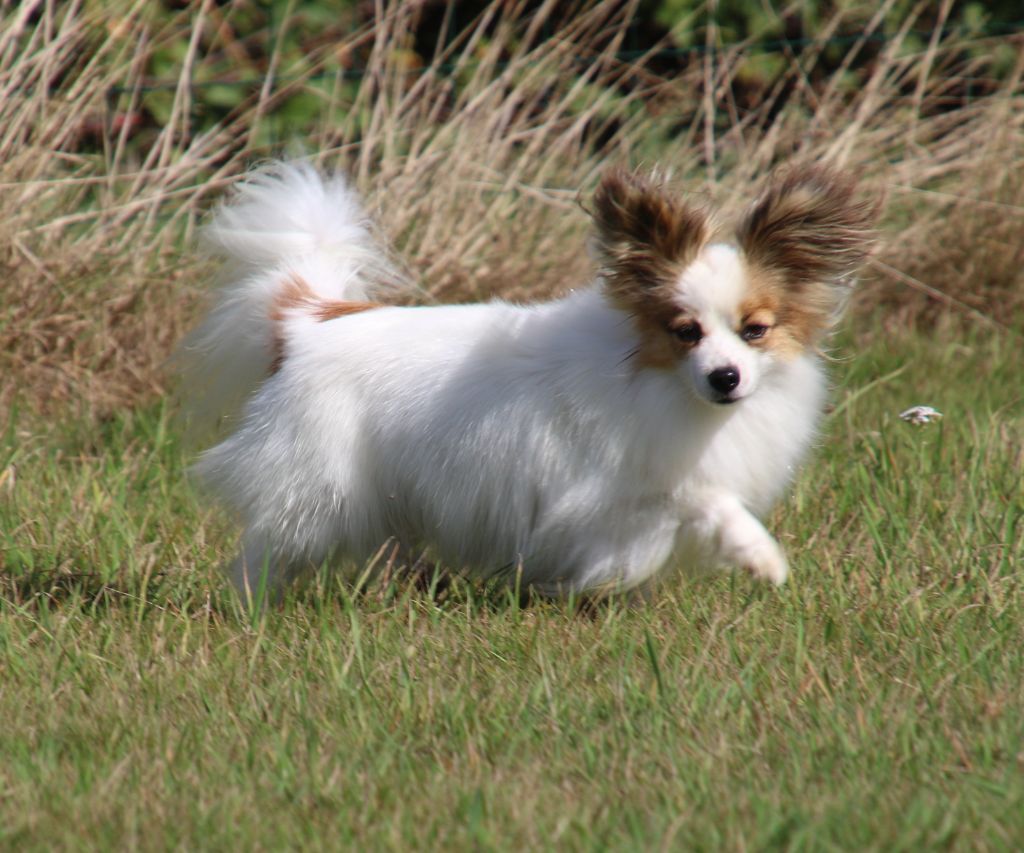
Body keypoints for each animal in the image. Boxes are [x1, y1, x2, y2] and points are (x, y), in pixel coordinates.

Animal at [181, 161, 876, 599]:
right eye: (686, 332)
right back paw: (251, 608)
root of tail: (308, 317)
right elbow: (705, 499)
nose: (725, 378)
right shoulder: (609, 491)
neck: (660, 387)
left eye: (755, 330)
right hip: (319, 489)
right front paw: (761, 556)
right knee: (268, 552)